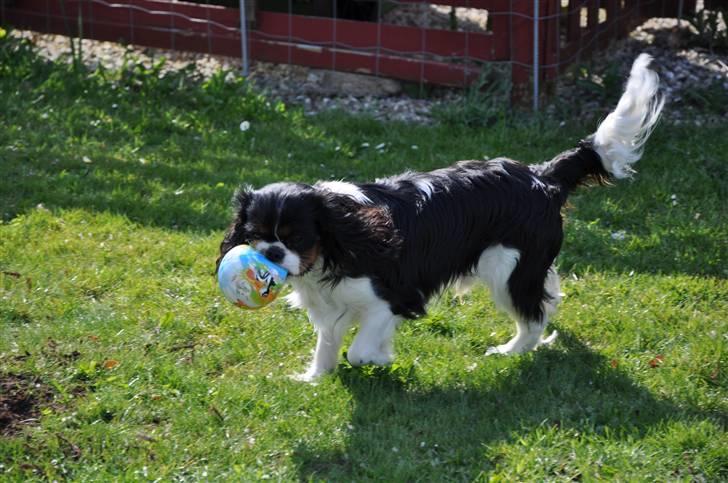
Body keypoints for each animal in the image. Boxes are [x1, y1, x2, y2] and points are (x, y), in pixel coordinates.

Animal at [218, 54, 664, 382]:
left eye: (296, 238)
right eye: (256, 235)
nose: (272, 253)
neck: (338, 244)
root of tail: (542, 175)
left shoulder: (392, 298)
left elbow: (359, 349)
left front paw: (378, 360)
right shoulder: (331, 307)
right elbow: (327, 343)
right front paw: (315, 378)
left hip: (507, 269)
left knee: (533, 318)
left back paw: (510, 351)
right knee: (546, 296)